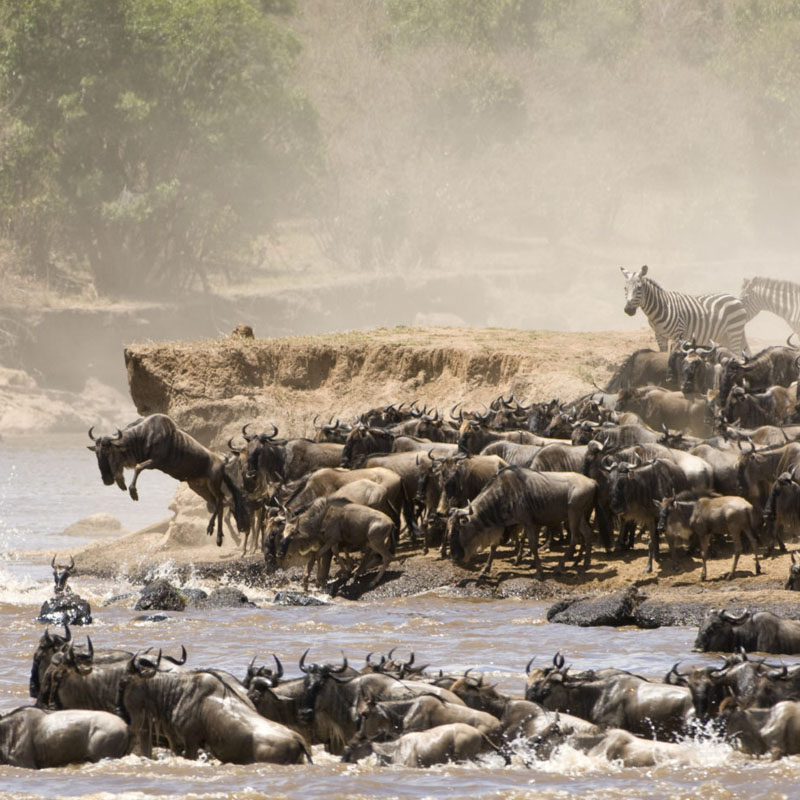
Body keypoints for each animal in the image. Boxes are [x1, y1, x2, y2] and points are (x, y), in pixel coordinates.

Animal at [620, 266, 752, 354]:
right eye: (625, 288)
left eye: (639, 288)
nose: (628, 310)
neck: (661, 308)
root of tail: (736, 299)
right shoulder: (659, 336)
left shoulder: (679, 336)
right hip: (724, 336)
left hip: (734, 332)